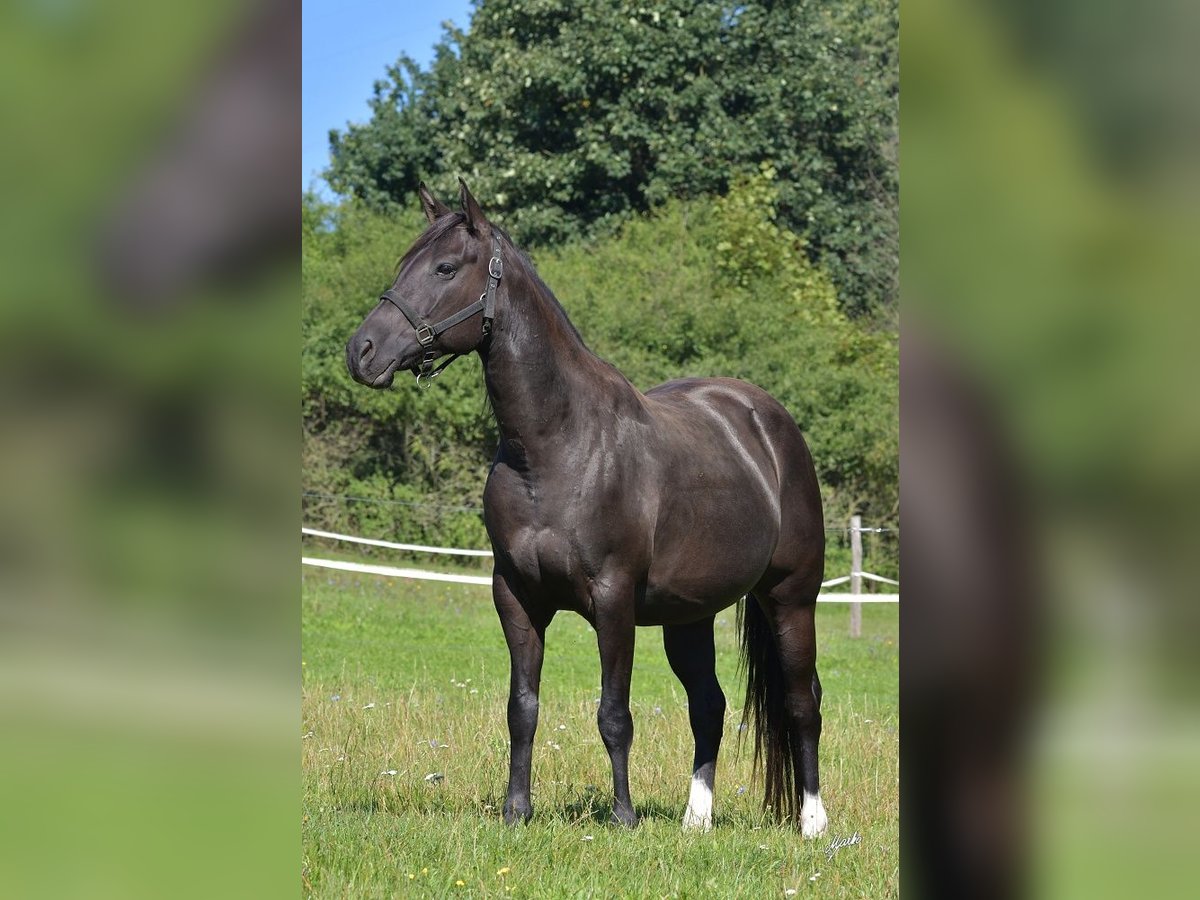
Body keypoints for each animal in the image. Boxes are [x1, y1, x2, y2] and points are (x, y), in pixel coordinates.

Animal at [348, 183, 830, 840]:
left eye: (445, 268)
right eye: (404, 264)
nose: (361, 351)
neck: (554, 447)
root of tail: (768, 422)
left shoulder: (613, 599)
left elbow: (614, 713)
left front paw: (624, 818)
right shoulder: (516, 596)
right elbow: (522, 708)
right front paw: (516, 811)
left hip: (791, 598)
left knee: (803, 702)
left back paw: (814, 824)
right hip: (689, 615)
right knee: (708, 706)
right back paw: (696, 819)